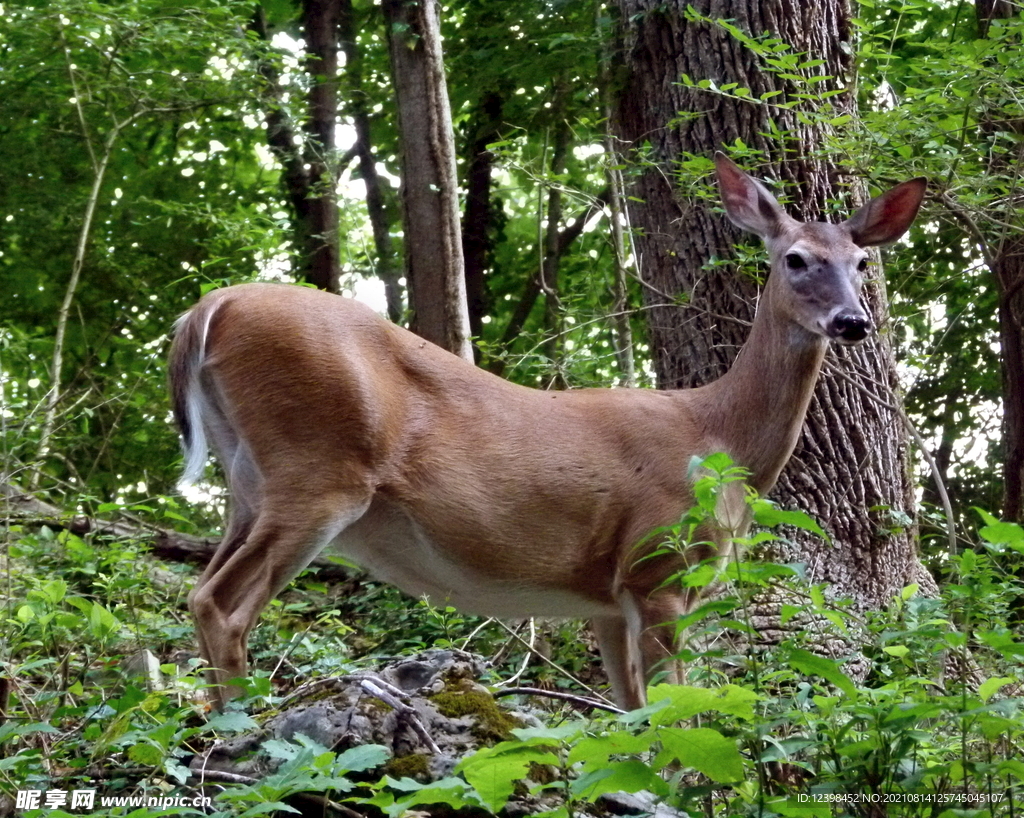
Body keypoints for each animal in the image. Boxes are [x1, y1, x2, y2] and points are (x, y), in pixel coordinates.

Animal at [169, 155, 929, 708]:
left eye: (862, 262)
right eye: (794, 259)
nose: (853, 321)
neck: (718, 438)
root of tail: (212, 306)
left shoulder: (607, 599)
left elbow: (632, 719)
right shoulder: (658, 567)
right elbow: (674, 714)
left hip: (250, 484)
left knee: (205, 588)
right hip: (319, 470)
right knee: (219, 604)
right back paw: (243, 728)